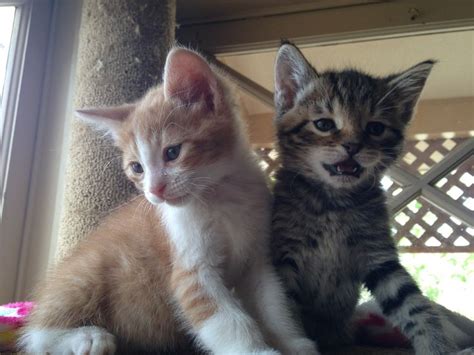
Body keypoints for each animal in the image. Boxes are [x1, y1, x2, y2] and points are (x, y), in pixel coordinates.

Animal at [19, 48, 318, 355]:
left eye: (173, 152)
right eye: (137, 168)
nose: (155, 191)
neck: (221, 196)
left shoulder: (257, 260)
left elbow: (274, 307)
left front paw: (294, 345)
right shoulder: (191, 270)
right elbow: (226, 319)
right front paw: (254, 350)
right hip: (86, 271)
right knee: (36, 335)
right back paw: (85, 337)